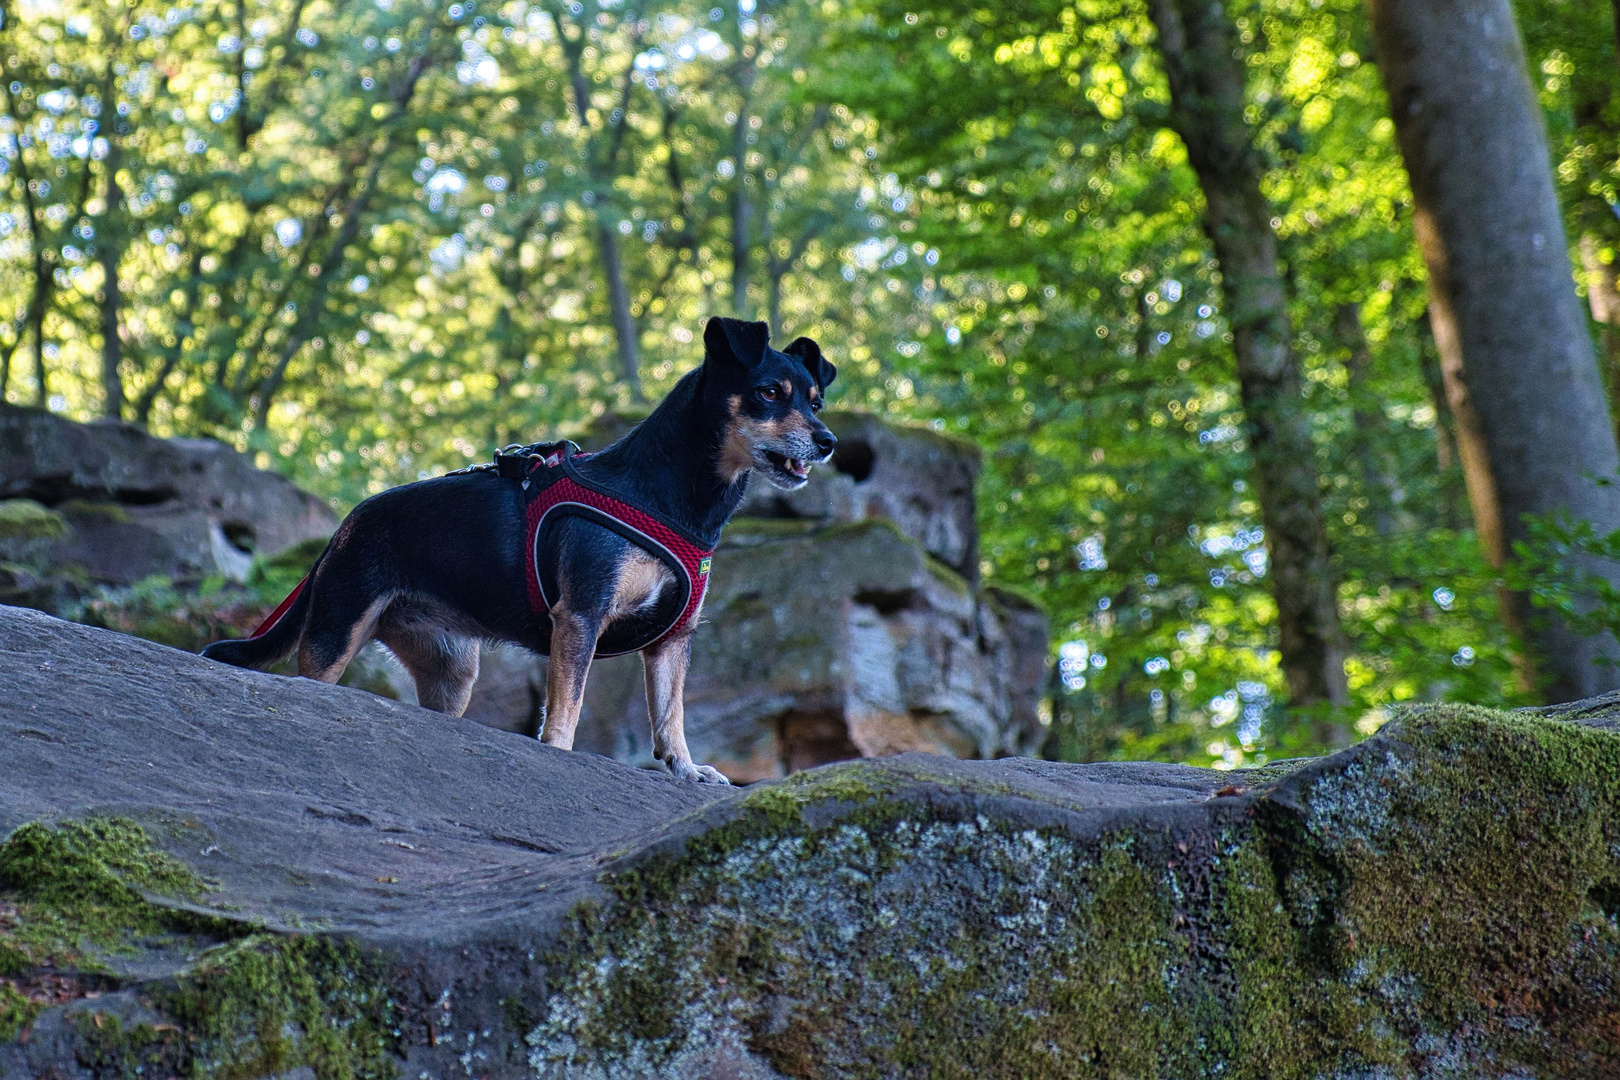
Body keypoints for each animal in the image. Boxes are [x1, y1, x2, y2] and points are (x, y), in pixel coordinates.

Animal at [200, 314, 835, 786]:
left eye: (816, 401)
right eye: (768, 393)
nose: (828, 441)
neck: (670, 497)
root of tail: (344, 526)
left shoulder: (672, 641)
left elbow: (669, 711)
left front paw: (685, 767)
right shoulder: (581, 615)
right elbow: (568, 703)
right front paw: (559, 752)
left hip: (452, 674)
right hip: (335, 633)